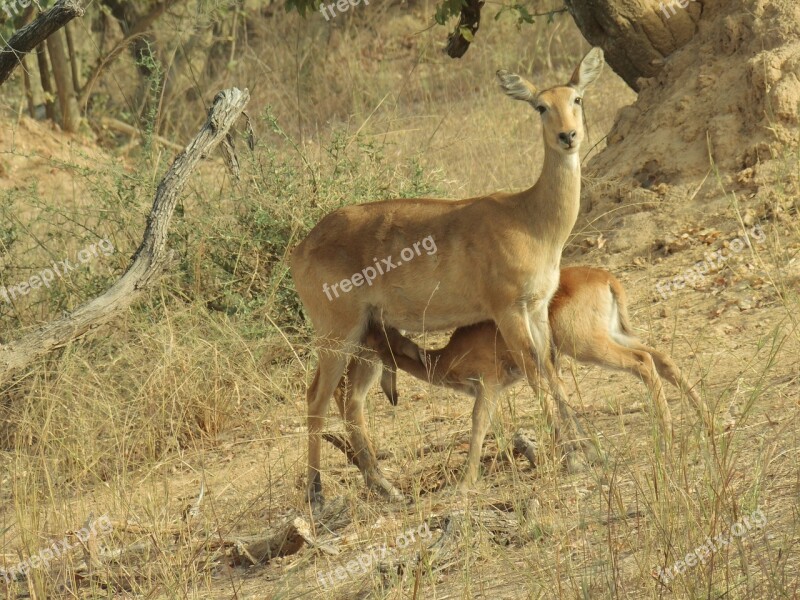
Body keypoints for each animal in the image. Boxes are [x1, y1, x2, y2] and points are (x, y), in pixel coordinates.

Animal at [290, 48, 604, 506]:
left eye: (576, 97)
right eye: (540, 106)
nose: (568, 136)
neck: (529, 218)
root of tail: (301, 247)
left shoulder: (537, 308)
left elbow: (551, 369)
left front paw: (588, 451)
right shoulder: (508, 311)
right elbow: (534, 373)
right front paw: (575, 459)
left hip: (365, 338)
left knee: (350, 401)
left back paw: (386, 487)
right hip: (336, 333)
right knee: (316, 396)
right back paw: (316, 495)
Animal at [368, 268, 712, 488]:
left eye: (377, 341)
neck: (446, 357)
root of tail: (605, 278)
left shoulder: (489, 386)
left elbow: (478, 424)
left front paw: (465, 484)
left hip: (588, 345)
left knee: (643, 363)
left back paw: (667, 435)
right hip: (614, 334)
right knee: (661, 358)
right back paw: (706, 421)